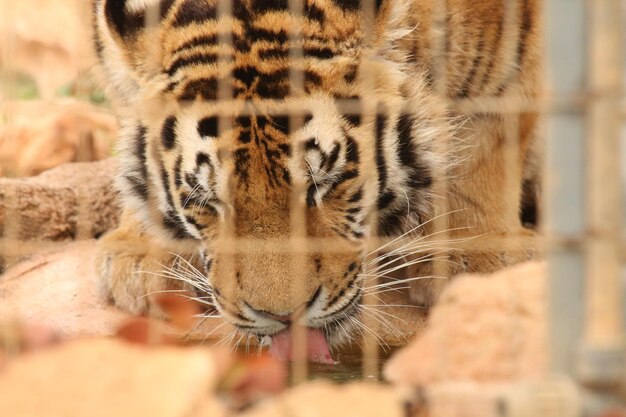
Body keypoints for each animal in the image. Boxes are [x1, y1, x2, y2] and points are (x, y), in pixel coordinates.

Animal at [90, 0, 540, 356]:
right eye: (207, 201)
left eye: (324, 185)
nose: (282, 317)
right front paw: (143, 253)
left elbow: (488, 134)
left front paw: (476, 254)